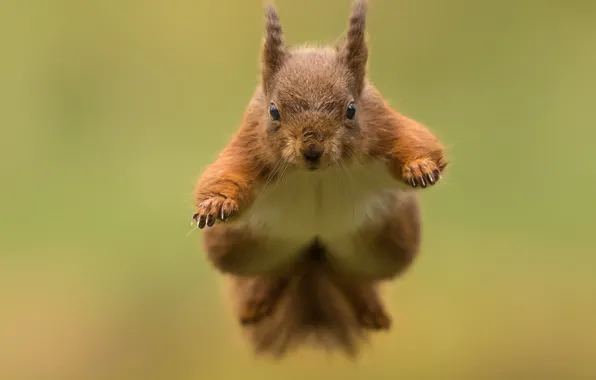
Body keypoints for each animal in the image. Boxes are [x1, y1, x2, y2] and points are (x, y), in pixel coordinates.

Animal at [191, 0, 448, 360]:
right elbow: (225, 174)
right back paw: (258, 301)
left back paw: (368, 308)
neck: (316, 174)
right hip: (234, 245)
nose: (312, 149)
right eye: (274, 111)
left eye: (351, 109)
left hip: (392, 240)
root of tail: (313, 251)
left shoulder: (383, 123)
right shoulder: (249, 145)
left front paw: (421, 167)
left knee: (345, 273)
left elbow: (419, 142)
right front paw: (216, 203)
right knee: (283, 268)